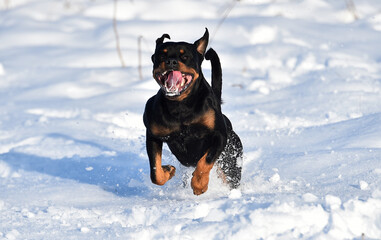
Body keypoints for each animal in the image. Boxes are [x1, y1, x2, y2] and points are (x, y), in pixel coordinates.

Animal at [142, 29, 243, 196]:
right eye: (161, 55)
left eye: (185, 56)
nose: (171, 62)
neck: (181, 106)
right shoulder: (153, 135)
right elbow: (155, 172)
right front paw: (168, 170)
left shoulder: (219, 136)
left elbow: (205, 161)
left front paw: (199, 184)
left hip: (231, 160)